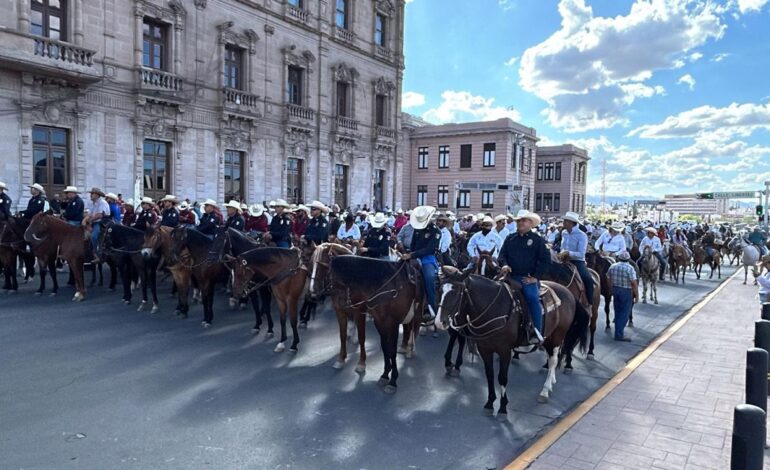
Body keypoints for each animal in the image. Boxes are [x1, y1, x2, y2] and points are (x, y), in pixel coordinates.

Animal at [322, 253, 424, 392]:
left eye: (327, 273)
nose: (338, 304)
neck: (385, 287)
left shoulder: (392, 323)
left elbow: (391, 350)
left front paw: (393, 381)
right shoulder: (379, 321)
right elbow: (385, 347)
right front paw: (385, 374)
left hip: (415, 314)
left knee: (414, 329)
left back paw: (410, 350)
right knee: (408, 329)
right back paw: (404, 348)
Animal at [438, 268, 588, 414]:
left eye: (456, 292)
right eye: (440, 290)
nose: (440, 322)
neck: (493, 309)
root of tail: (568, 293)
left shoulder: (505, 351)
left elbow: (502, 378)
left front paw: (503, 408)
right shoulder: (485, 349)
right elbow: (490, 375)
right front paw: (490, 403)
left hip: (558, 335)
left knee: (553, 360)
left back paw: (545, 391)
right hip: (548, 336)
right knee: (552, 357)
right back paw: (551, 382)